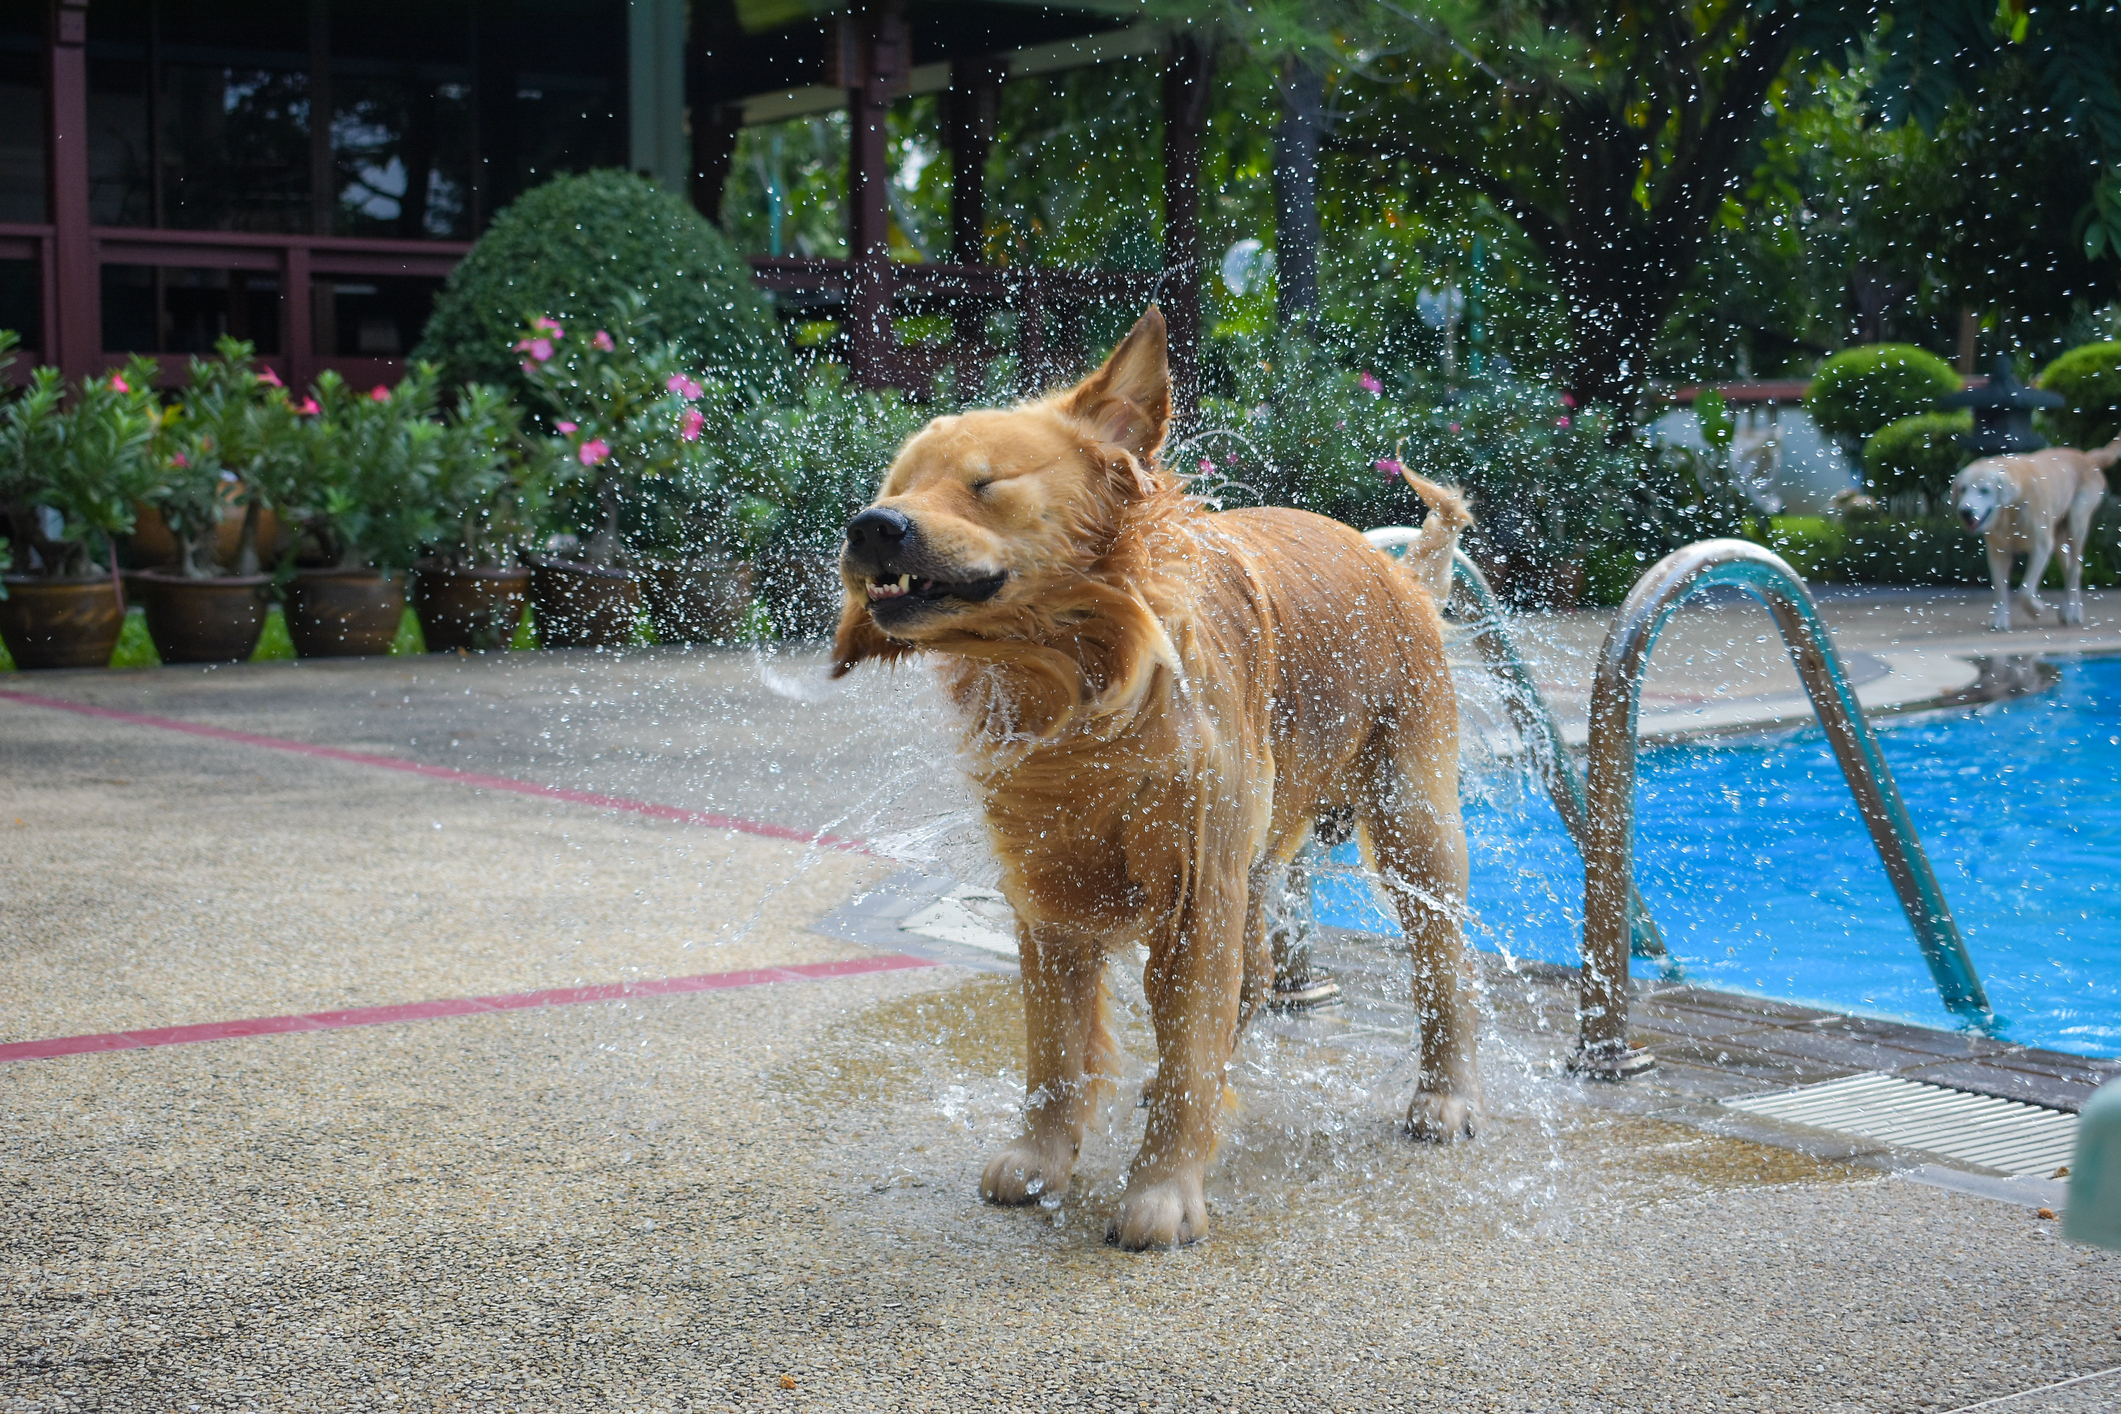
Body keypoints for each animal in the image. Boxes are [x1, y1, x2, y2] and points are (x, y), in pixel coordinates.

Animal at [827, 309, 1476, 1246]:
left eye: (985, 484)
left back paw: (1444, 1095)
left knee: (1442, 968)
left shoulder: (1198, 881)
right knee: (1247, 985)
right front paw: (1041, 1157)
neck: (1088, 685)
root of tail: (1398, 572)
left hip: (1413, 825)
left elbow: (1188, 1046)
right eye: (898, 484)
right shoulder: (1049, 885)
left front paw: (1163, 1190)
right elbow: (1055, 1047)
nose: (871, 526)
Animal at [1951, 436, 2121, 623]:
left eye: (1985, 490)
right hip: (2058, 540)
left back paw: (2073, 612)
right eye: (1963, 489)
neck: (2011, 511)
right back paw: (2068, 609)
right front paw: (2000, 620)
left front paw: (2036, 610)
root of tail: (2087, 457)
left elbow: (2024, 591)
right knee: (2070, 569)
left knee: (2074, 569)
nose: (1965, 511)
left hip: (2077, 524)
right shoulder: (1997, 552)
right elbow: (2000, 589)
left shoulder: (2041, 547)